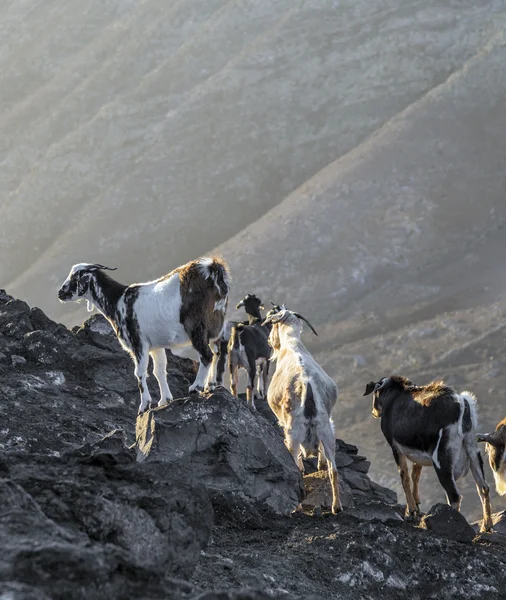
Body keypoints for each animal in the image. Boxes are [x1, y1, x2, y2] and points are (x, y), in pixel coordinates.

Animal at [59, 255, 231, 414]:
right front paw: (165, 400)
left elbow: (140, 373)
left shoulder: (138, 343)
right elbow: (159, 371)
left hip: (196, 326)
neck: (118, 301)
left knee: (206, 355)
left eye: (74, 277)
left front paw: (144, 405)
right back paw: (211, 385)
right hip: (216, 327)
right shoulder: (155, 347)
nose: (60, 293)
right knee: (217, 353)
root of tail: (212, 270)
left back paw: (196, 387)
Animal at [262, 308, 342, 512]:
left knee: (295, 470)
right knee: (333, 469)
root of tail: (307, 385)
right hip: (325, 428)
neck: (291, 344)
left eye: (272, 326)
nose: (269, 341)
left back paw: (297, 507)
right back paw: (336, 506)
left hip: (293, 431)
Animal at [366, 376, 492, 528]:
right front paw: (416, 506)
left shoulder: (394, 445)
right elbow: (415, 475)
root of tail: (461, 403)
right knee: (483, 488)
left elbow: (404, 476)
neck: (393, 393)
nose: (374, 412)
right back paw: (487, 526)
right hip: (473, 450)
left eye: (375, 393)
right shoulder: (418, 451)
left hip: (441, 459)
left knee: (454, 496)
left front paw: (410, 512)